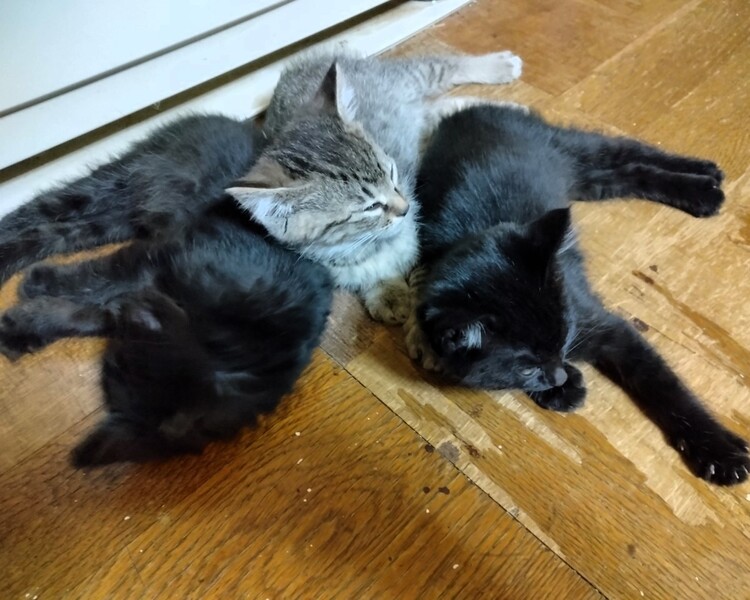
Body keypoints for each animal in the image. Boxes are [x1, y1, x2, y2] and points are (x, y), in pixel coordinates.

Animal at [0, 116, 333, 467]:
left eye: (115, 363)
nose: (130, 308)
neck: (235, 342)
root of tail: (242, 125)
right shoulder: (165, 253)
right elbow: (104, 276)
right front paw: (39, 287)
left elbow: (90, 311)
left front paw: (26, 325)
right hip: (128, 180)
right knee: (45, 206)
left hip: (125, 215)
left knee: (62, 232)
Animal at [225, 48, 523, 324]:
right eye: (371, 207)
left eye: (392, 174)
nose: (406, 208)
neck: (356, 246)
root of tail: (305, 60)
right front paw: (386, 291)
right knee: (432, 110)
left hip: (405, 80)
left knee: (437, 66)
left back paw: (499, 69)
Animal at [406, 103, 749, 485]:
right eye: (527, 368)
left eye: (564, 334)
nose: (557, 375)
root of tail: (467, 110)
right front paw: (564, 387)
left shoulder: (607, 326)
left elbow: (665, 386)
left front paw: (718, 450)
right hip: (582, 179)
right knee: (627, 174)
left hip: (568, 146)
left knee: (630, 152)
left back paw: (705, 181)